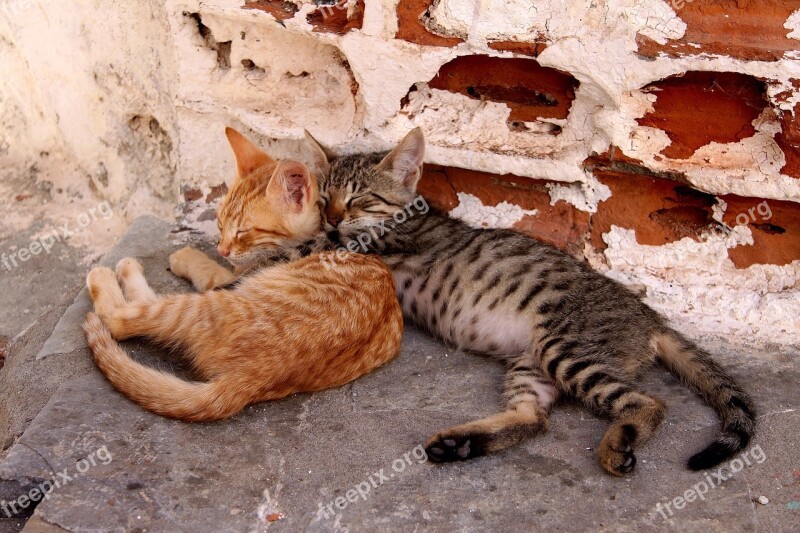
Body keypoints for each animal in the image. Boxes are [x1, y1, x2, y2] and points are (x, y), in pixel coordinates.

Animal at [83, 128, 406, 420]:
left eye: (243, 232)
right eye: (219, 223)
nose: (222, 249)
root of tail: (247, 380)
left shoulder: (227, 278)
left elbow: (207, 268)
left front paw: (185, 256)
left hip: (209, 301)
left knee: (120, 319)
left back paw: (109, 273)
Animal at [252, 128, 756, 474]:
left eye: (358, 199)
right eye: (324, 199)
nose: (334, 218)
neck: (409, 212)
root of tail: (652, 318)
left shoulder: (362, 244)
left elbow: (295, 249)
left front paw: (246, 262)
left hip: (566, 349)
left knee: (648, 403)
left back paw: (617, 446)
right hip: (533, 365)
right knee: (534, 419)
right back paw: (461, 444)